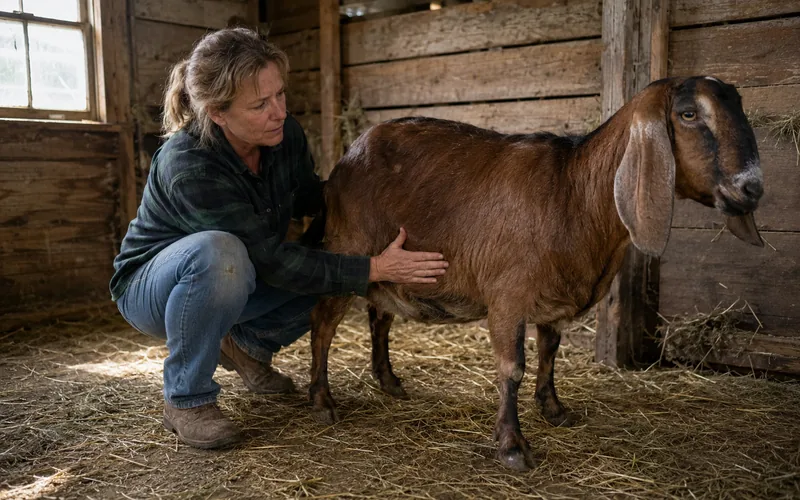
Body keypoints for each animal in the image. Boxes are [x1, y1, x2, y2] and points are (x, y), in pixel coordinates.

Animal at [307, 76, 765, 471]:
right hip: (347, 249)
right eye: (688, 114)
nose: (752, 187)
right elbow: (513, 368)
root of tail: (344, 162)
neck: (573, 192)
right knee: (324, 324)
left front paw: (554, 409)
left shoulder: (554, 299)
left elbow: (549, 352)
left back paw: (388, 381)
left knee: (379, 316)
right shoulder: (508, 297)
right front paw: (512, 446)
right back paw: (322, 400)